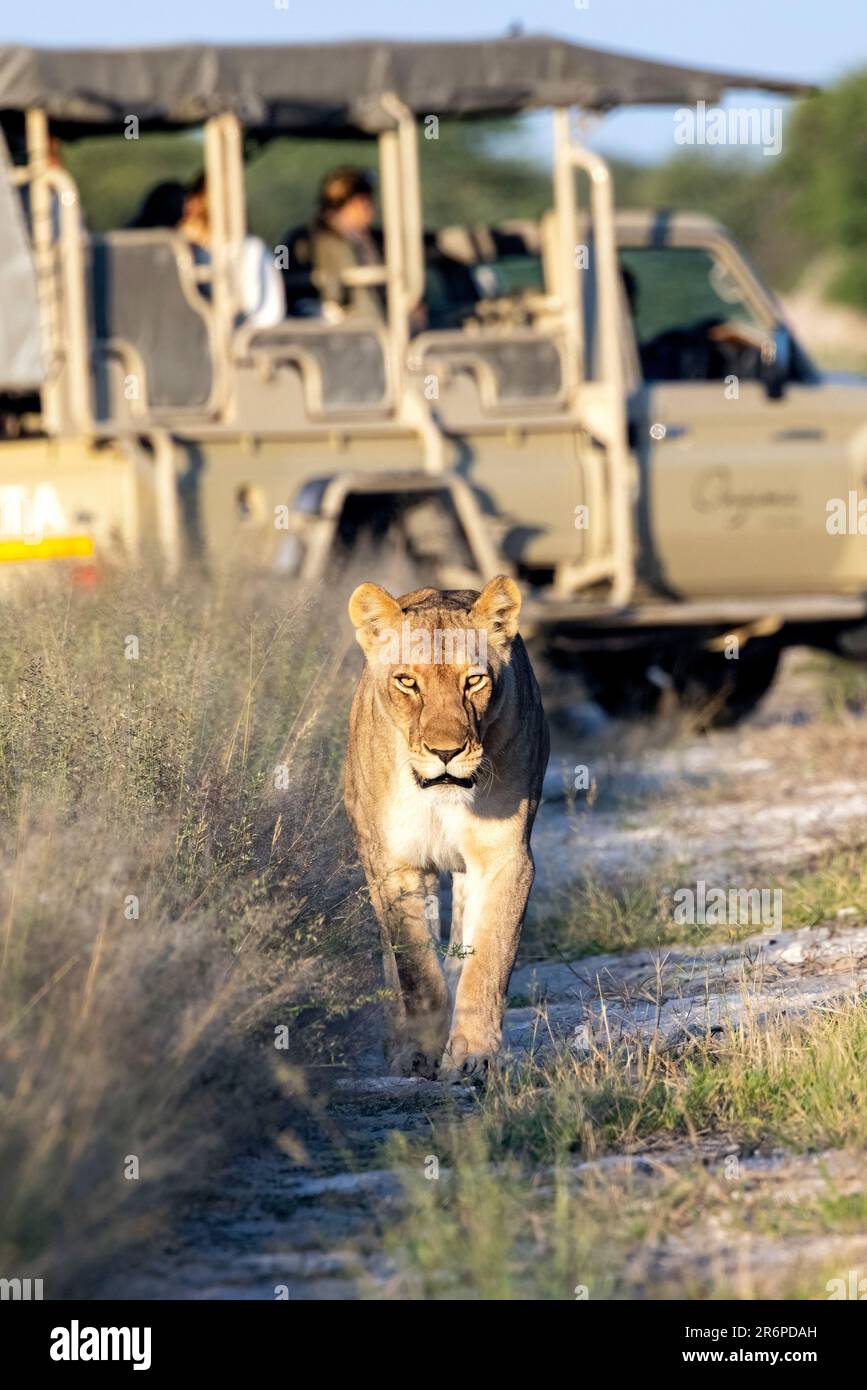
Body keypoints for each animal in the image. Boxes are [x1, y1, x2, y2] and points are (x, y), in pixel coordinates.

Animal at [344, 575, 549, 1081]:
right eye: (407, 681)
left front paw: (474, 1056)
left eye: (473, 680)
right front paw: (422, 1051)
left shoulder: (505, 857)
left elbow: (488, 958)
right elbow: (415, 968)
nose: (445, 752)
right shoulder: (394, 866)